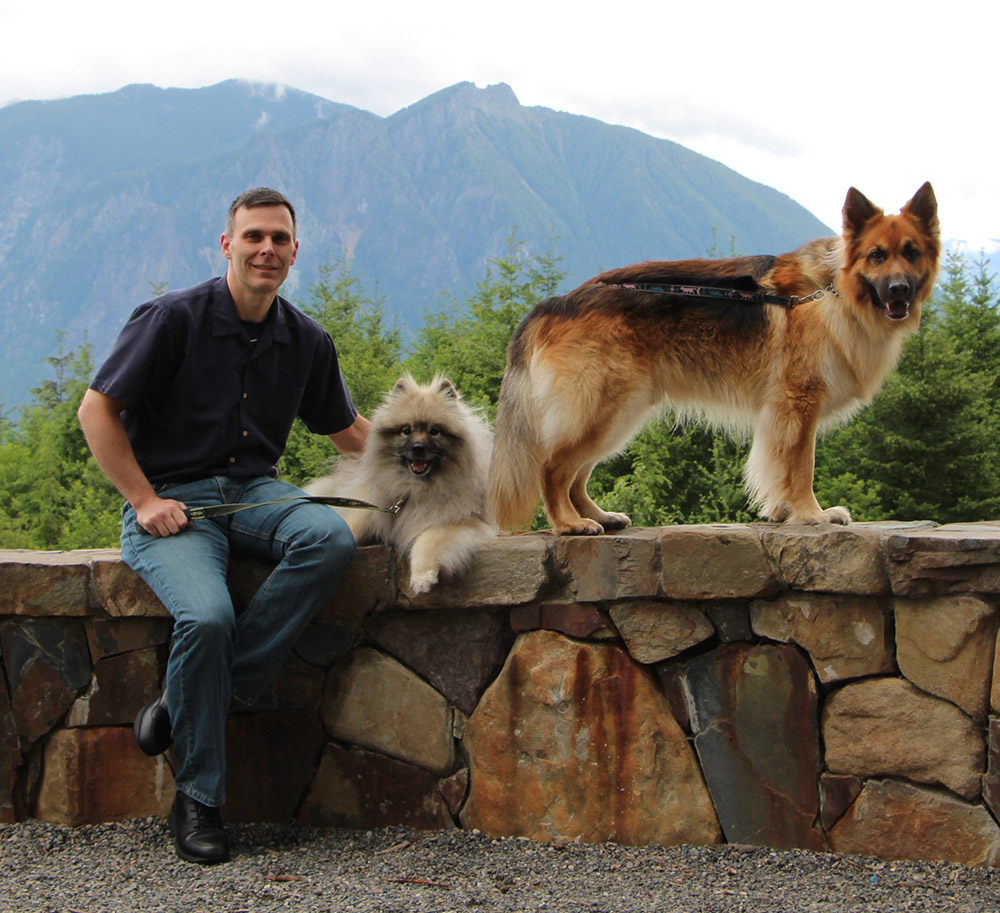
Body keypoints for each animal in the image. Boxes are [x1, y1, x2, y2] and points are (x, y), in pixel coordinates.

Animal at [304, 374, 492, 596]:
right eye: (406, 430)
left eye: (435, 431)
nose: (418, 447)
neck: (415, 488)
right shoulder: (370, 506)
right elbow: (352, 526)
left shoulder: (457, 522)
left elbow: (426, 541)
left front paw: (421, 577)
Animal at [488, 181, 940, 532]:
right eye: (877, 255)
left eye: (912, 252)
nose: (899, 290)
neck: (835, 291)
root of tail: (556, 302)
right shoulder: (798, 403)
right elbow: (800, 467)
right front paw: (812, 514)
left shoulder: (783, 413)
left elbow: (781, 466)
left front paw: (782, 512)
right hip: (601, 410)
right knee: (551, 467)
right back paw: (569, 523)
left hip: (618, 414)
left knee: (577, 475)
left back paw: (598, 515)